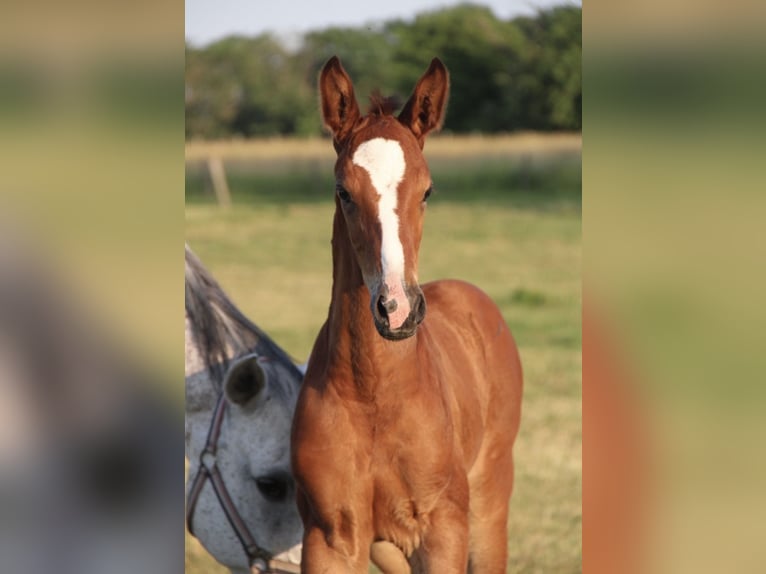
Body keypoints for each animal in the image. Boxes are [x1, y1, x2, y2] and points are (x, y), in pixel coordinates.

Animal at [290, 57, 523, 573]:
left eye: (428, 190)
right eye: (343, 192)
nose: (397, 309)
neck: (374, 397)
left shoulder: (442, 531)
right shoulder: (331, 538)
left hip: (489, 505)